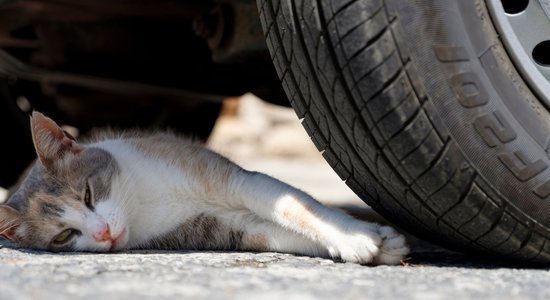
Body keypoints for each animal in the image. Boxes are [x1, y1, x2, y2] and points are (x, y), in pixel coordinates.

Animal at [0, 111, 410, 264]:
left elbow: (296, 208)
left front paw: (358, 235)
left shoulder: (237, 181)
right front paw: (366, 246)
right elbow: (282, 233)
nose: (102, 233)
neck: (144, 201)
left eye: (88, 194)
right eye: (63, 236)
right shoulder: (226, 228)